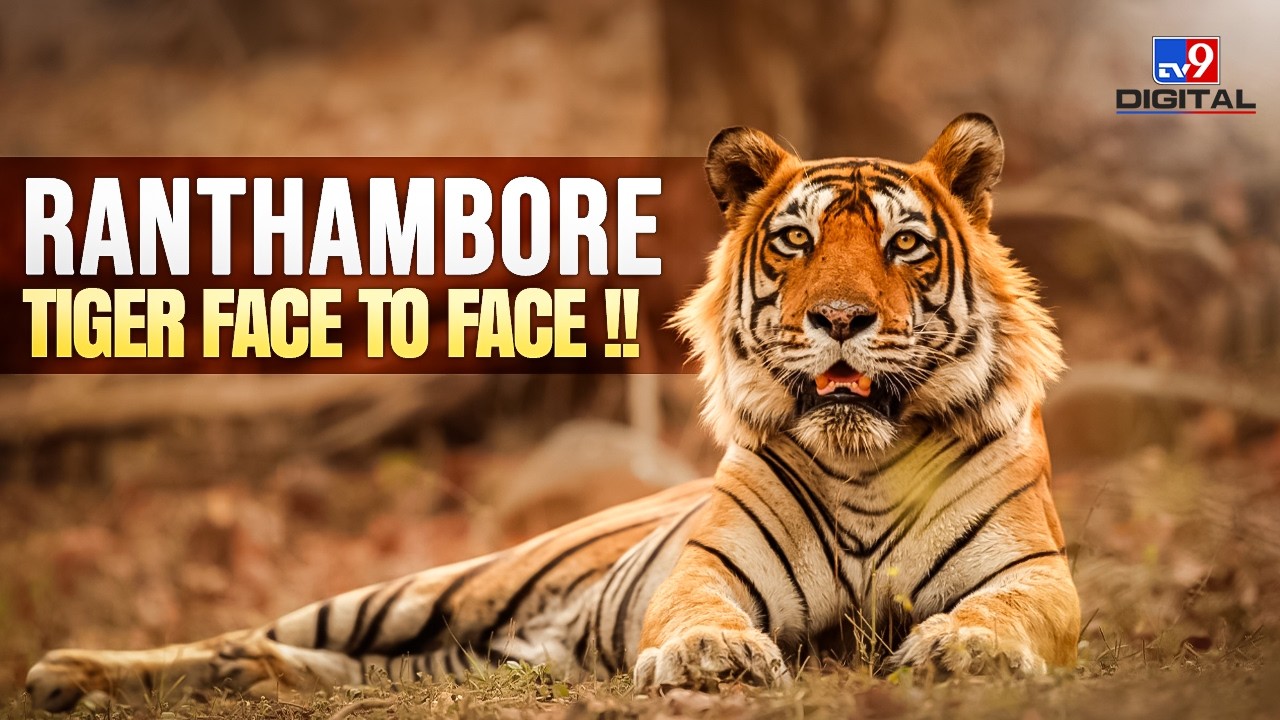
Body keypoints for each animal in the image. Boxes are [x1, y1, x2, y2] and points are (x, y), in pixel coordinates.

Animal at [25, 113, 1078, 711]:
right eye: (795, 242)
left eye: (904, 245)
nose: (841, 319)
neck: (863, 460)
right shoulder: (705, 569)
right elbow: (699, 610)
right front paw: (710, 656)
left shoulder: (1035, 576)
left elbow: (1006, 608)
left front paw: (967, 649)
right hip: (428, 589)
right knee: (251, 631)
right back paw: (72, 674)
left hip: (461, 654)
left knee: (333, 668)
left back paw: (236, 683)